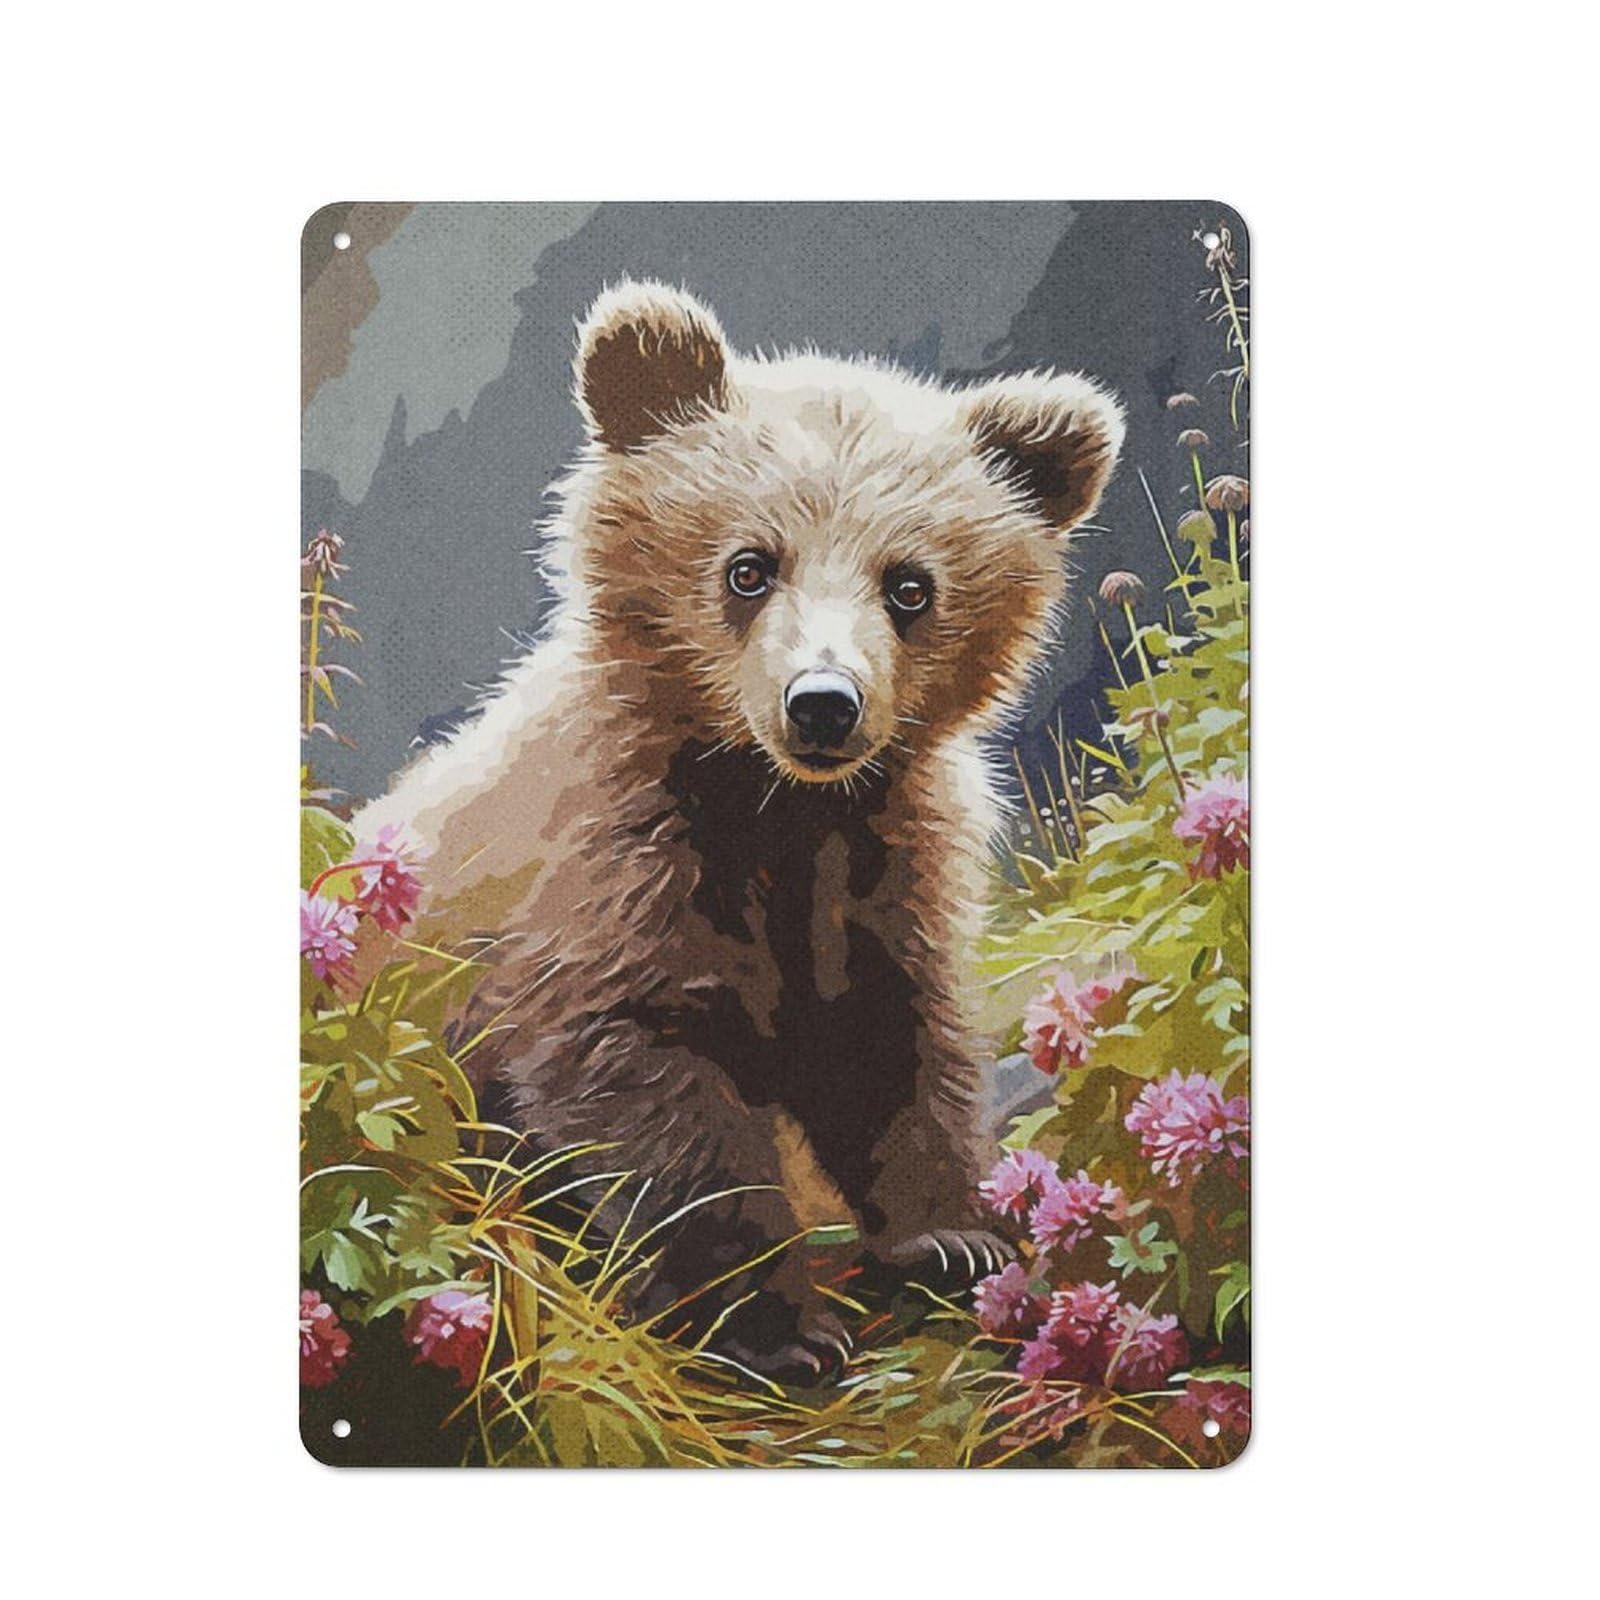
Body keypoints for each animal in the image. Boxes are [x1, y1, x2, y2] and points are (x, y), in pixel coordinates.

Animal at [353, 281, 1125, 1377]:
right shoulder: (617, 871)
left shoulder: (880, 863)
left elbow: (888, 1041)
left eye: (909, 584)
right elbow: (656, 1098)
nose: (824, 705)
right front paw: (779, 1324)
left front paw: (948, 1234)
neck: (774, 806)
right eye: (750, 567)